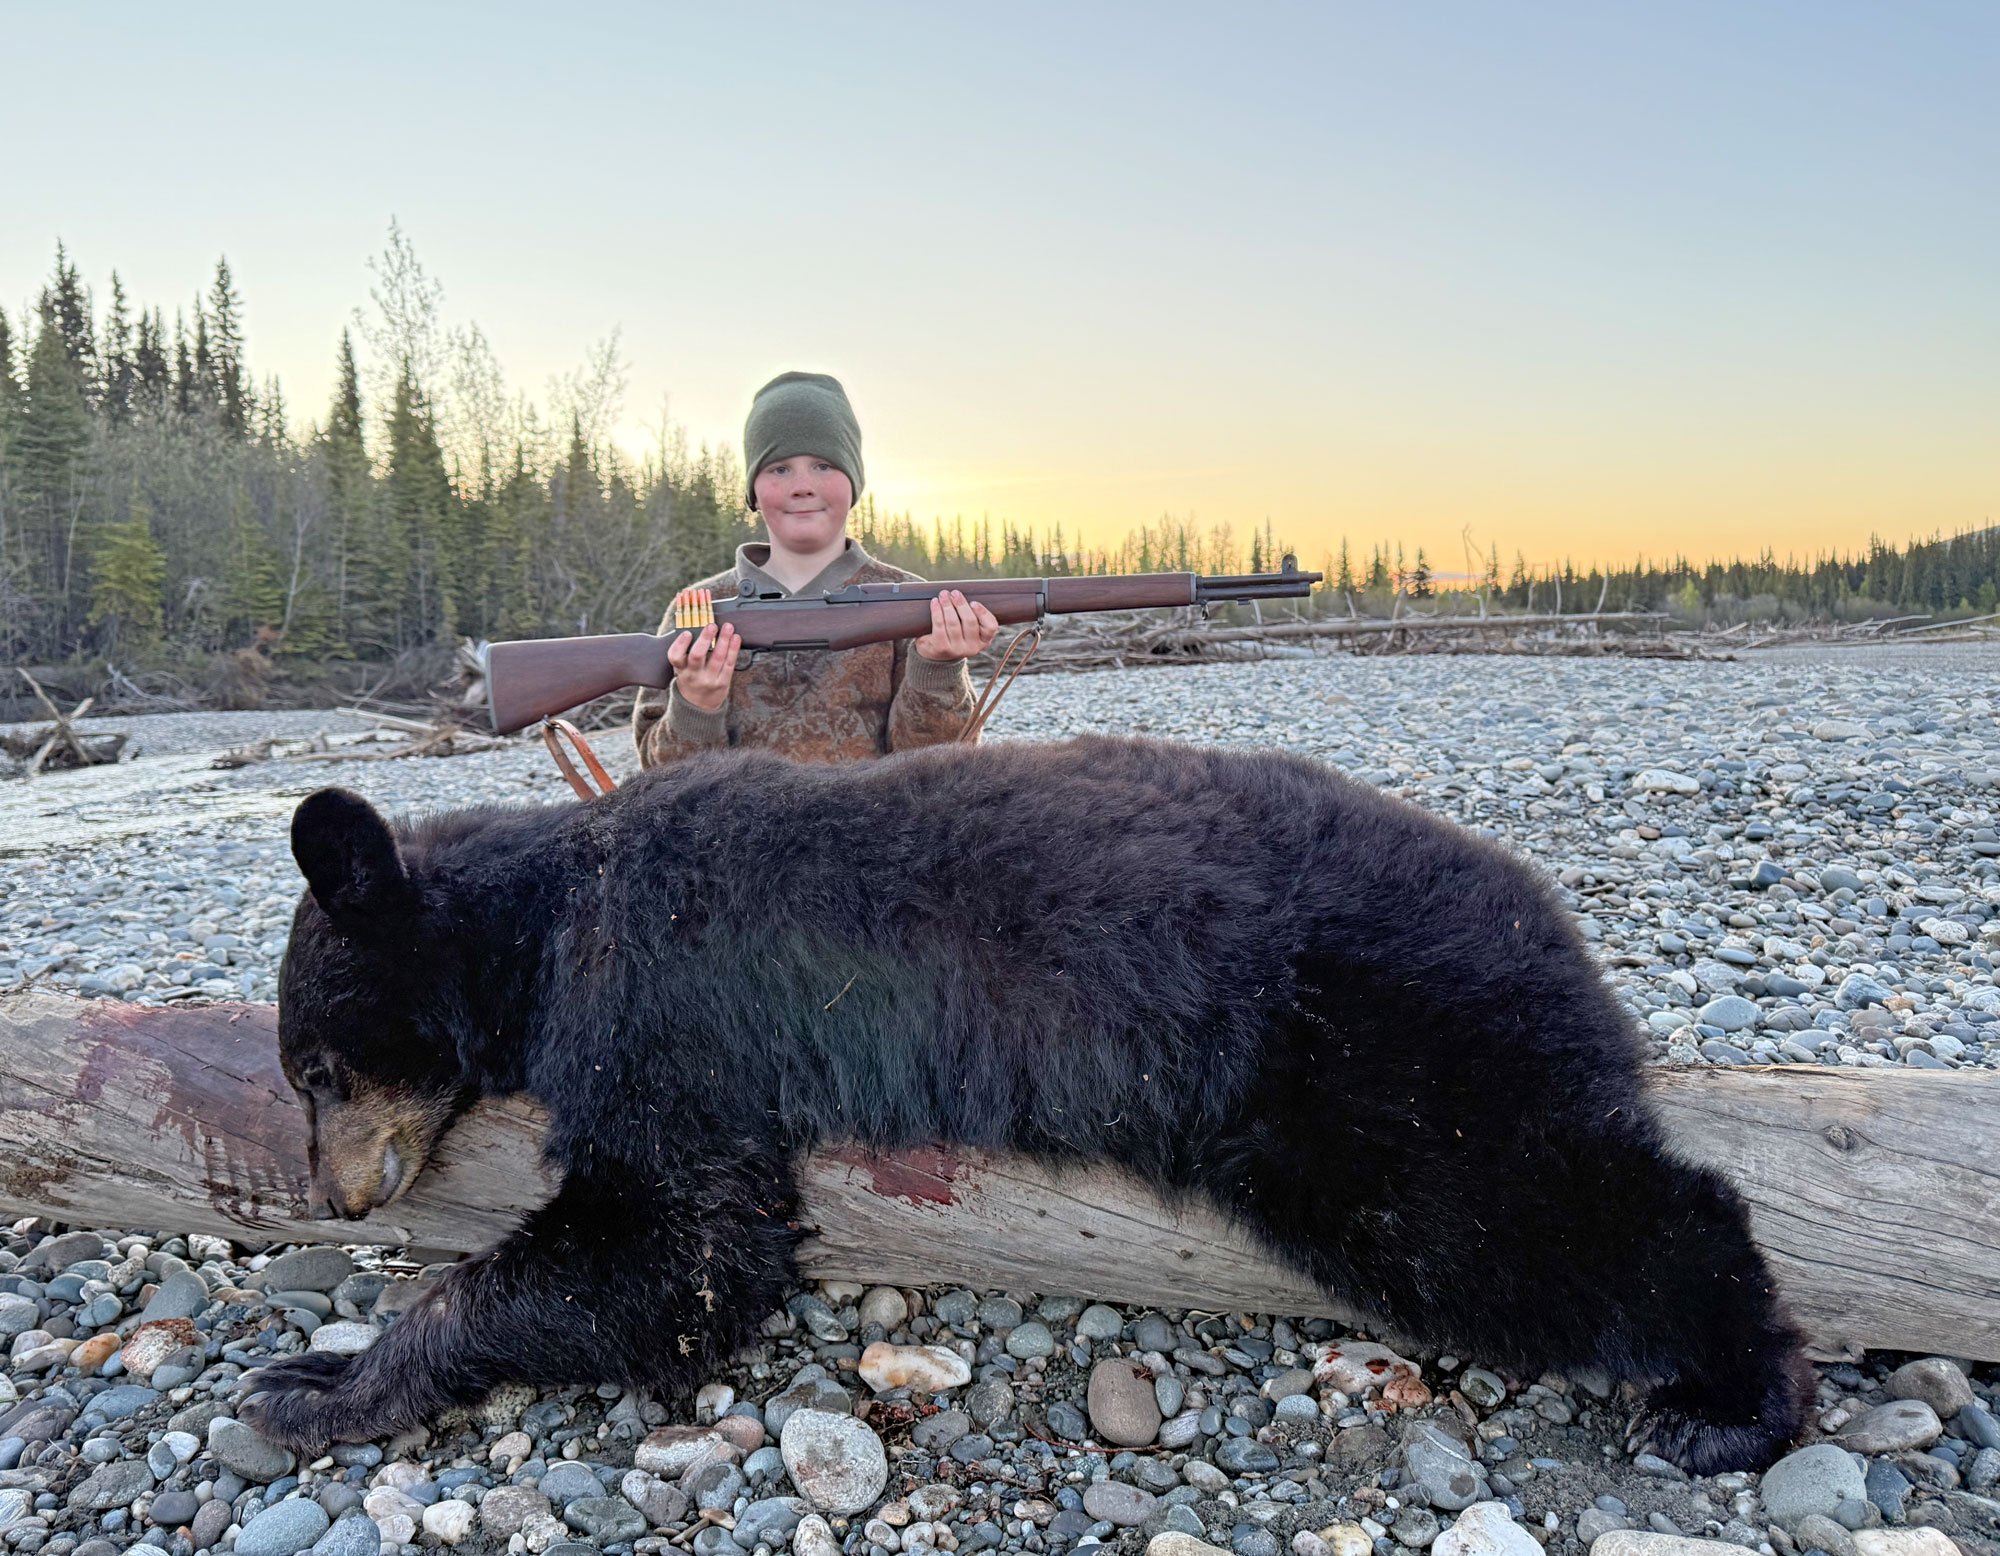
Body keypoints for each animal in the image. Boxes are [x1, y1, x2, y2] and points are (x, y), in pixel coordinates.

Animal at [242, 733, 1810, 1473]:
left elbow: (675, 1249)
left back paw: (1731, 1399)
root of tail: (1546, 915)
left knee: (1525, 1217)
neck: (549, 916)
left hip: (1373, 1056)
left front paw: (327, 1381)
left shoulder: (661, 1007)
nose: (332, 1190)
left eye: (315, 1069)